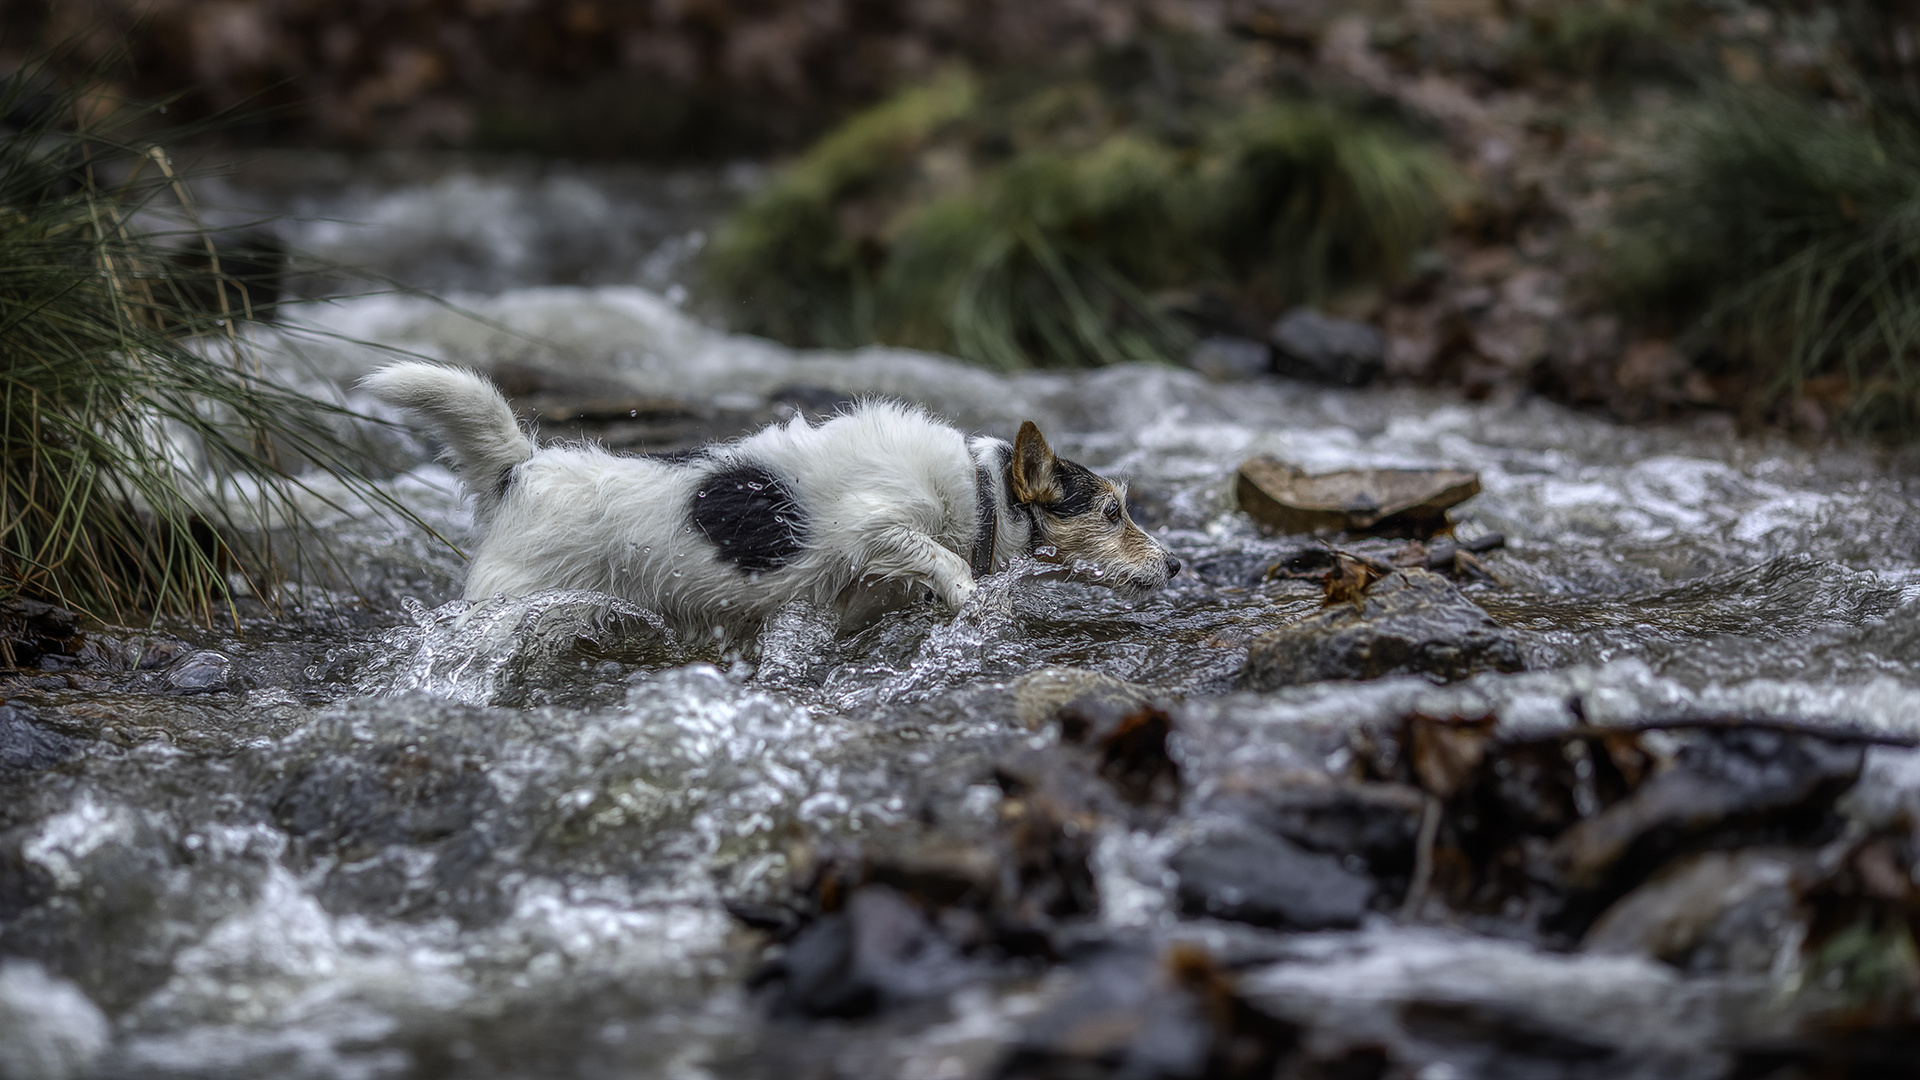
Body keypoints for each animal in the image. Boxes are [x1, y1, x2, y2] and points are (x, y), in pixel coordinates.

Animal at [359, 359, 1167, 630]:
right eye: (1113, 511)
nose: (1179, 565)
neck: (979, 490)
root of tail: (520, 472)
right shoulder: (873, 528)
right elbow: (946, 561)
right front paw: (971, 599)